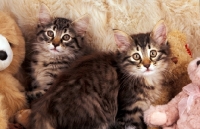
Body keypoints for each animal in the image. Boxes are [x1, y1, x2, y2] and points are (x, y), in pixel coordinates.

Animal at [27, 20, 169, 129]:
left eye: (153, 53)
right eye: (136, 56)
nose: (147, 65)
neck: (146, 79)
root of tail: (44, 108)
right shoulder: (128, 112)